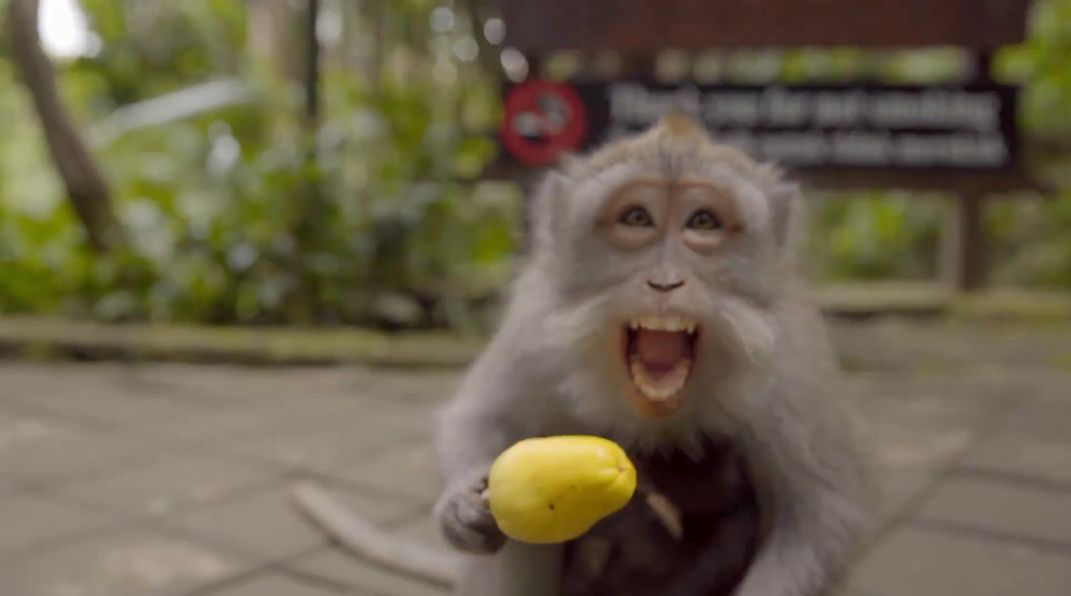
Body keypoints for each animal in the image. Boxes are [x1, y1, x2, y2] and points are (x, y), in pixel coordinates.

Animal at [430, 113, 873, 596]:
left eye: (703, 221)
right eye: (637, 217)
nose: (665, 281)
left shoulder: (792, 358)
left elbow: (820, 517)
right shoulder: (531, 326)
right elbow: (485, 419)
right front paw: (460, 504)